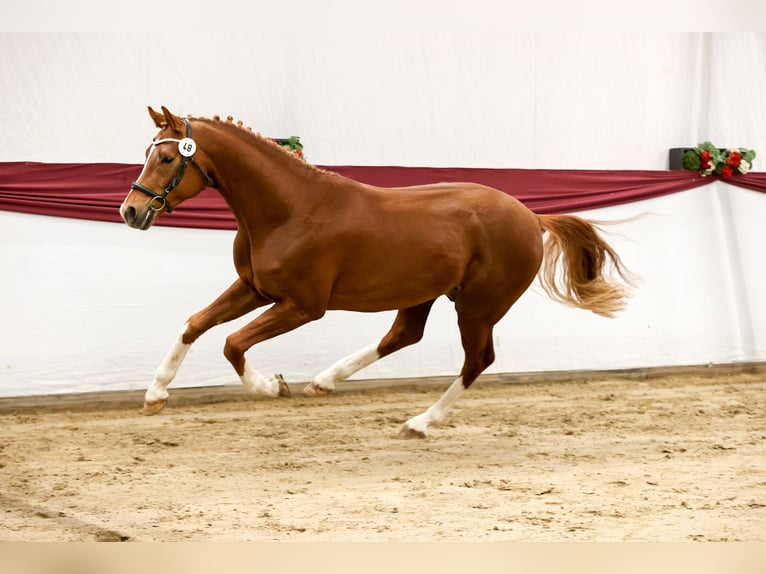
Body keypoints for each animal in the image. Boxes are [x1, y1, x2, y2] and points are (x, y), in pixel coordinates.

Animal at [120, 106, 635, 438]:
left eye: (167, 157)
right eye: (147, 152)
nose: (130, 211)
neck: (288, 209)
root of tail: (532, 217)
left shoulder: (302, 306)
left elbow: (232, 343)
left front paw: (272, 387)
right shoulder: (255, 288)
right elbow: (195, 325)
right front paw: (155, 395)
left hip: (479, 306)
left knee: (477, 360)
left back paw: (420, 423)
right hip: (426, 293)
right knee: (403, 336)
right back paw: (325, 382)